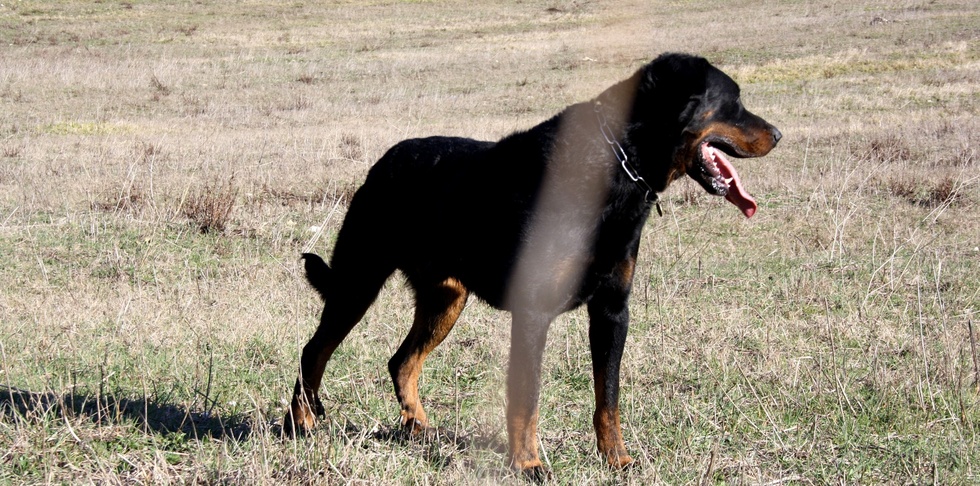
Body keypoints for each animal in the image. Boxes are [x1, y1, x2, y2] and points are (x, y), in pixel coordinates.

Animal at [286, 52, 781, 477]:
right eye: (734, 102)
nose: (777, 134)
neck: (619, 163)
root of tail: (382, 163)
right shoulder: (533, 313)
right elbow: (526, 398)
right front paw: (528, 465)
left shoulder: (611, 311)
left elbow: (608, 397)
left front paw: (616, 460)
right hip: (358, 282)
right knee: (314, 350)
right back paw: (301, 424)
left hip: (446, 297)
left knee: (401, 362)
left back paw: (417, 427)